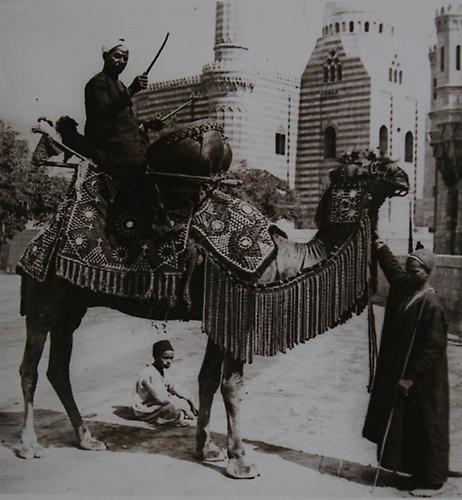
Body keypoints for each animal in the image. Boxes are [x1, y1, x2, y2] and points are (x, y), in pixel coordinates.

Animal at [17, 119, 408, 478]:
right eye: (366, 165)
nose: (402, 175)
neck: (284, 256)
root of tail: (40, 237)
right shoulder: (239, 309)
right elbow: (231, 386)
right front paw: (241, 461)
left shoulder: (222, 314)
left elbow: (206, 381)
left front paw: (207, 449)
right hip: (43, 296)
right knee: (29, 368)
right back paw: (28, 444)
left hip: (72, 306)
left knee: (58, 368)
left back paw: (88, 439)